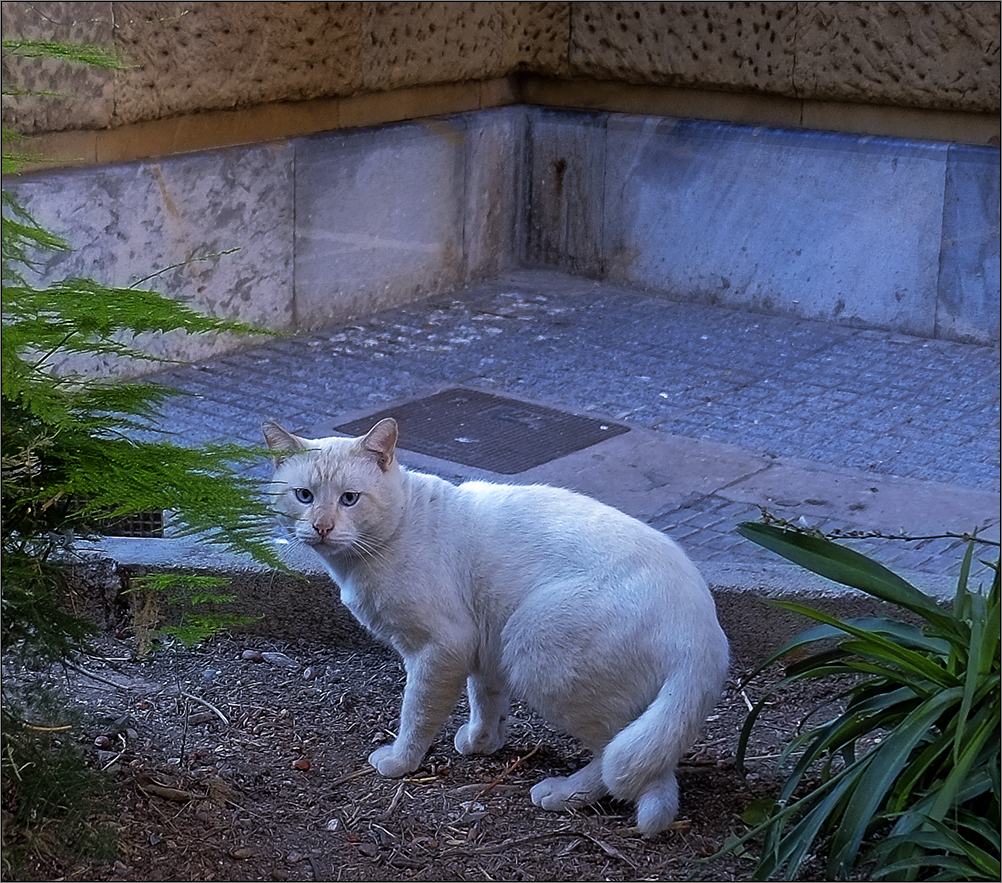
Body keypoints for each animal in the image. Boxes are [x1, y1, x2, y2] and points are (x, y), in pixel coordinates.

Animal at [258, 414, 729, 833]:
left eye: (349, 499)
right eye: (304, 495)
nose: (321, 526)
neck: (397, 529)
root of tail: (703, 633)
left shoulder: (441, 648)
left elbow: (417, 713)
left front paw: (400, 762)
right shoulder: (483, 645)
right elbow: (486, 700)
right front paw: (482, 743)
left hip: (535, 642)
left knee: (626, 760)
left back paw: (563, 793)